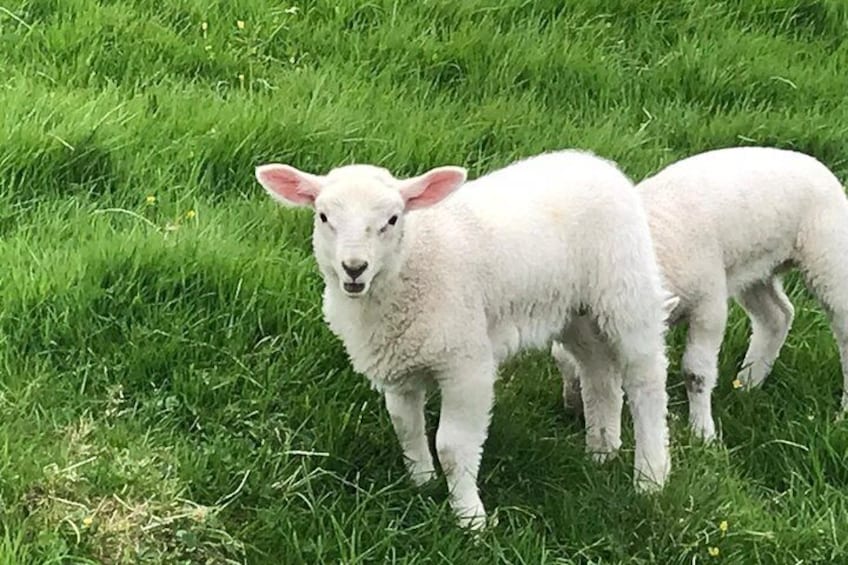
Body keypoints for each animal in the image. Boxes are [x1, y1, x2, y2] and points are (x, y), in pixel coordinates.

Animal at [255, 148, 672, 528]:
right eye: (324, 217)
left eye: (392, 219)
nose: (354, 268)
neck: (411, 263)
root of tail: (594, 161)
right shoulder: (397, 366)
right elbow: (406, 427)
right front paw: (422, 483)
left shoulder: (466, 364)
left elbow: (452, 447)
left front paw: (470, 518)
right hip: (576, 311)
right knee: (600, 375)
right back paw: (602, 450)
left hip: (625, 288)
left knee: (646, 380)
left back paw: (650, 476)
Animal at [552, 145, 848, 440]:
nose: (573, 413)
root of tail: (814, 163)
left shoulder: (709, 304)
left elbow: (696, 372)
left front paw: (702, 433)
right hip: (757, 269)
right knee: (776, 316)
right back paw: (749, 383)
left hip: (828, 253)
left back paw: (842, 412)